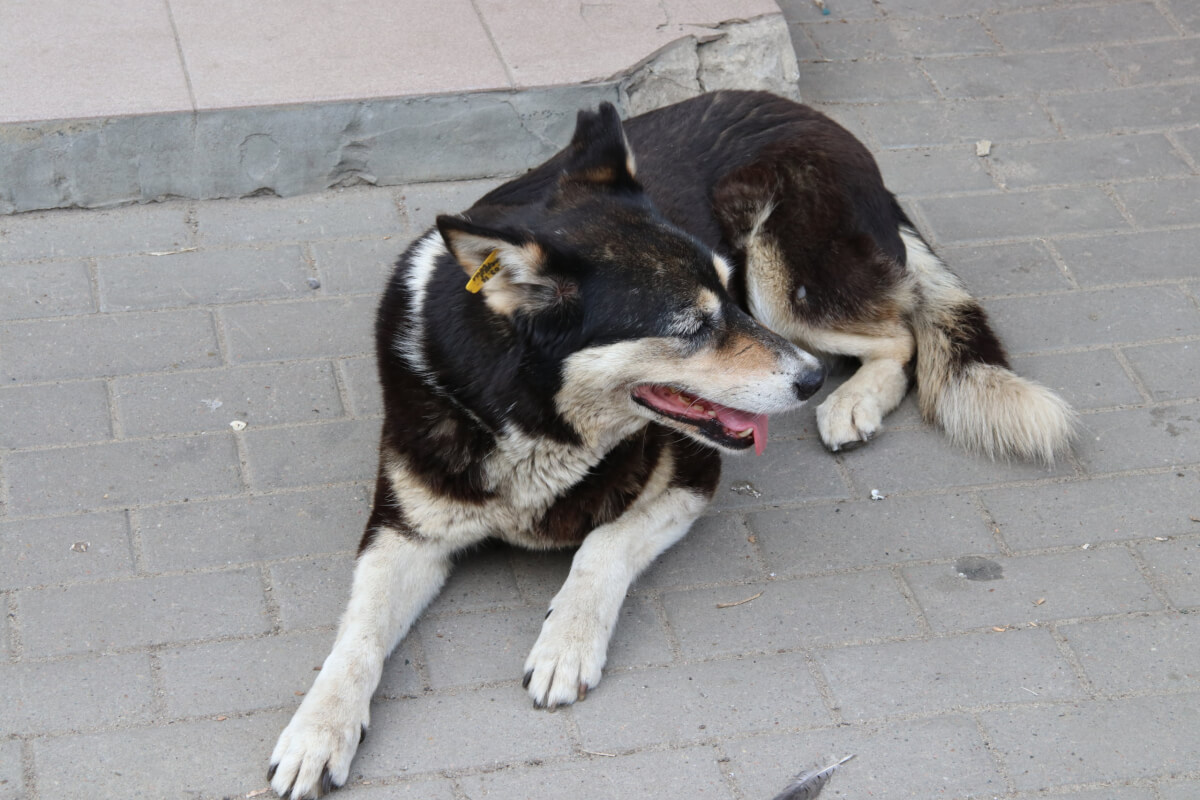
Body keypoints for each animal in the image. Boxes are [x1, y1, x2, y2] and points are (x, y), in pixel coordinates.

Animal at [267, 89, 1075, 800]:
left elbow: (601, 547)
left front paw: (565, 643)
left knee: (900, 334)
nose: (808, 380)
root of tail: (814, 117)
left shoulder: (691, 475)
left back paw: (854, 401)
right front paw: (316, 731)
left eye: (725, 293)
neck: (532, 414)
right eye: (690, 326)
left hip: (783, 277)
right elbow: (355, 639)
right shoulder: (403, 531)